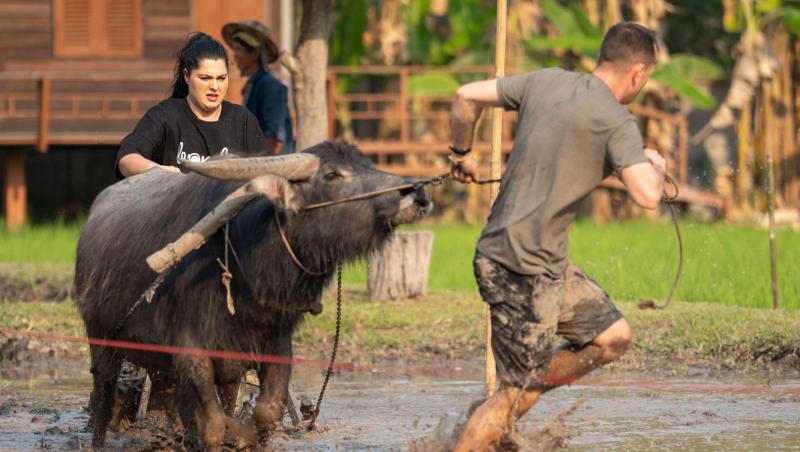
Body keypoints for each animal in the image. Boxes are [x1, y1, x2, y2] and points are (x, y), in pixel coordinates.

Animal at [74, 140, 434, 448]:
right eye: (333, 175)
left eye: (368, 165)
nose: (415, 194)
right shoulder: (191, 350)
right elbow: (213, 425)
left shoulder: (274, 341)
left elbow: (267, 411)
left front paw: (244, 436)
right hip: (102, 339)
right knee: (104, 398)